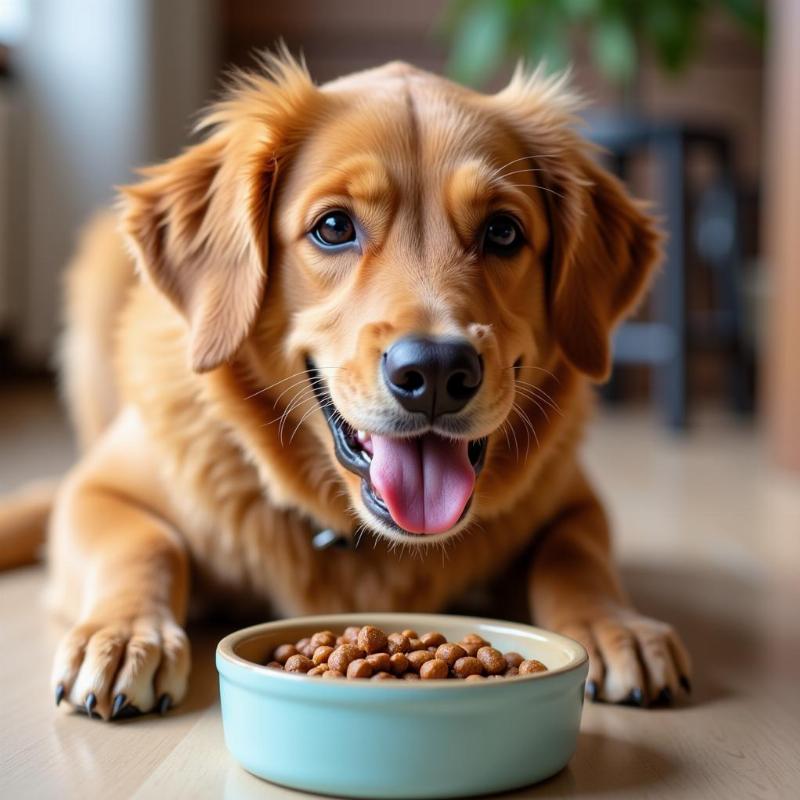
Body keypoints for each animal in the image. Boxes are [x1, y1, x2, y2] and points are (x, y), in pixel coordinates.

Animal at [0, 53, 688, 720]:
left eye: (503, 232)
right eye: (333, 227)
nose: (436, 372)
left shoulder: (576, 499)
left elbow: (575, 556)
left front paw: (617, 626)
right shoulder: (100, 489)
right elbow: (145, 542)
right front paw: (124, 635)